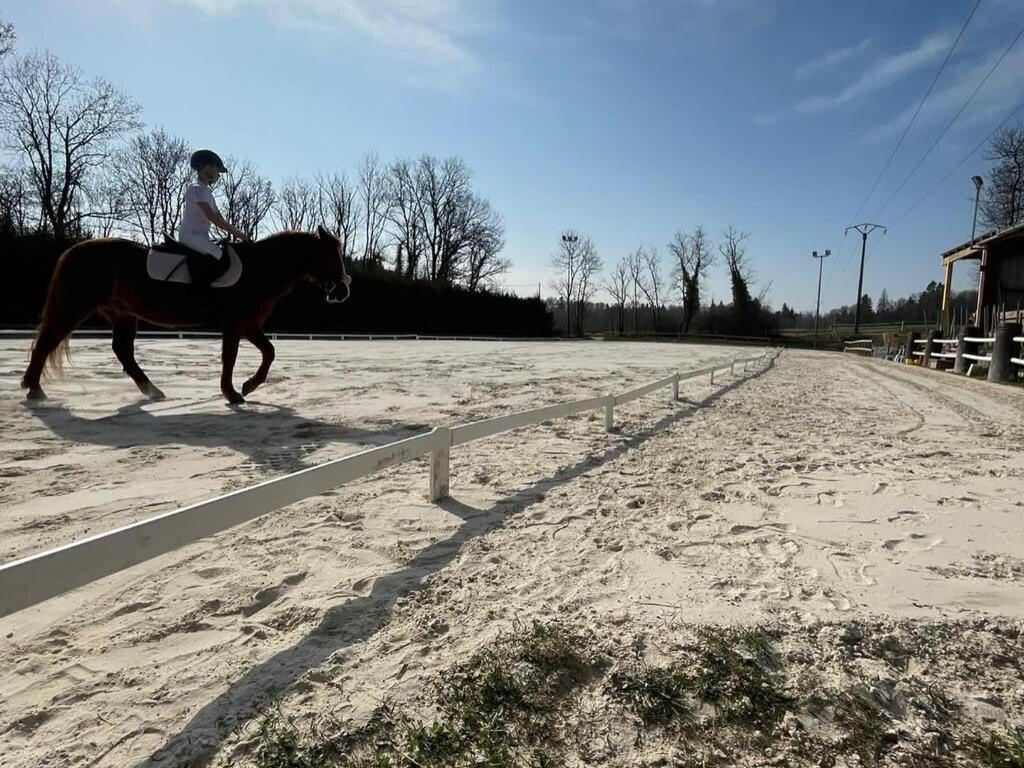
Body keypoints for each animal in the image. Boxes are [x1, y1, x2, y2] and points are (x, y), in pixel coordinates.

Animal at [19, 227, 352, 403]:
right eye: (330, 255)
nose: (343, 291)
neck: (258, 269)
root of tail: (75, 250)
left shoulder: (248, 324)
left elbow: (269, 352)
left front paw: (248, 385)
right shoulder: (235, 324)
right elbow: (231, 357)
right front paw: (233, 392)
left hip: (123, 314)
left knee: (123, 351)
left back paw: (152, 390)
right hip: (75, 307)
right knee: (48, 340)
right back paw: (34, 388)